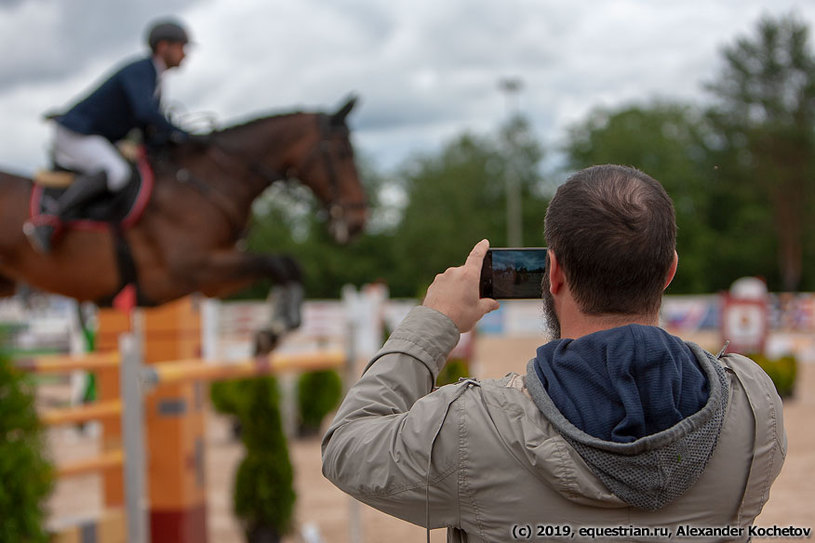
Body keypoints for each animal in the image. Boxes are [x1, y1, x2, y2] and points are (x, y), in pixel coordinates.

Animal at [0, 98, 366, 336]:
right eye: (341, 153)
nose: (357, 221)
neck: (209, 180)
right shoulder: (190, 268)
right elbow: (278, 263)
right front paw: (275, 327)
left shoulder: (213, 281)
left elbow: (287, 265)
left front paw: (275, 327)